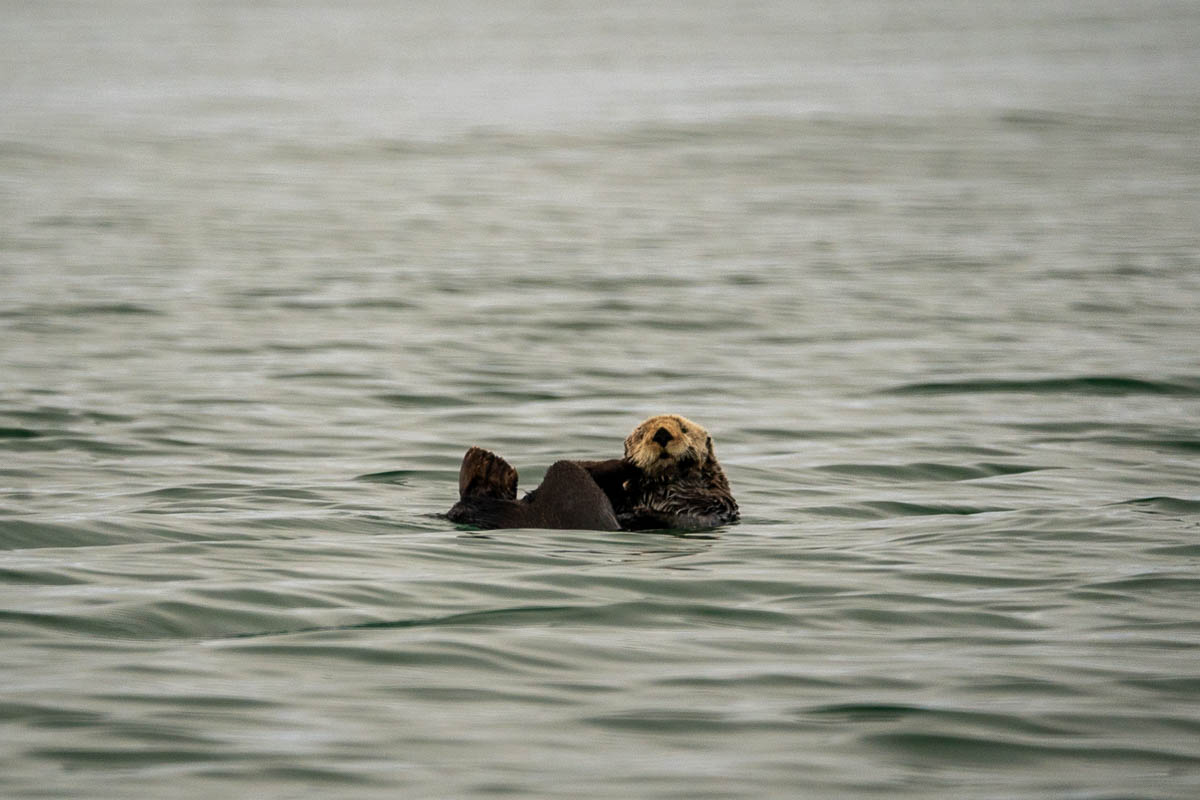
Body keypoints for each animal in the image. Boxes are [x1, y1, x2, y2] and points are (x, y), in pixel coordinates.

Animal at [445, 415, 737, 531]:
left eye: (684, 429)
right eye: (642, 433)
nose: (662, 433)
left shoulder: (706, 501)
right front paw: (632, 469)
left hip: (571, 494)